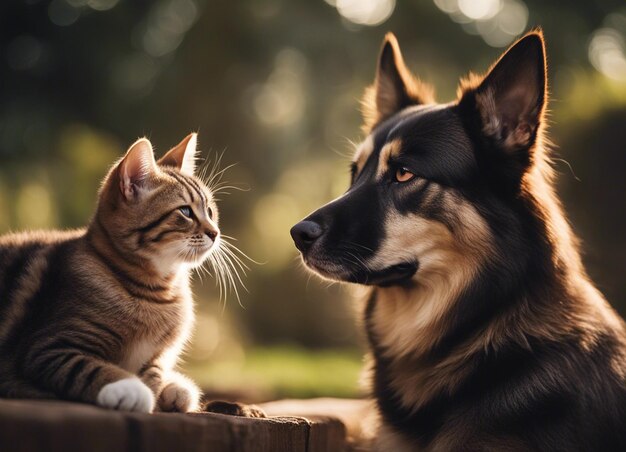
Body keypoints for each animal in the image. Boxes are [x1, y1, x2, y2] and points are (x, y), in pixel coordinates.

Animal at [0, 134, 219, 414]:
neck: (158, 291)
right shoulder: (47, 347)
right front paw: (131, 388)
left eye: (210, 211)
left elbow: (155, 373)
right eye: (185, 211)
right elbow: (89, 368)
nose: (215, 232)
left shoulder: (156, 358)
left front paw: (169, 388)